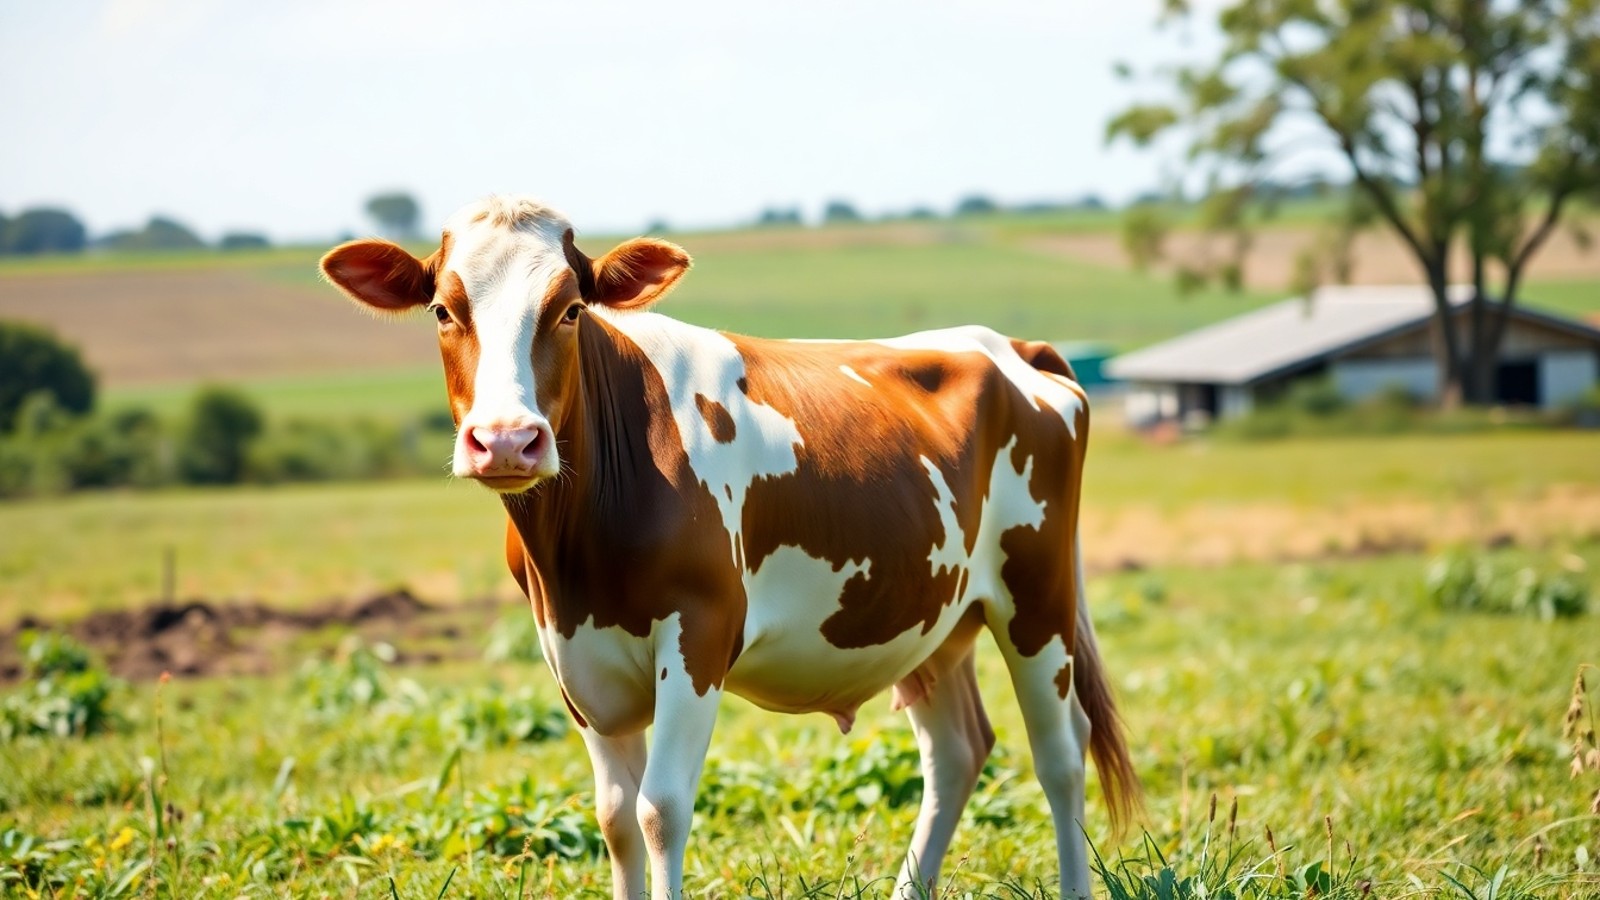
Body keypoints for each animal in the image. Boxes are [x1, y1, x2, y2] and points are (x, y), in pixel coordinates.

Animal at [320, 196, 1139, 899]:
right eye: (442, 309)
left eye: (571, 308)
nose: (505, 440)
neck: (577, 555)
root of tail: (999, 343)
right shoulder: (571, 655)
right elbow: (614, 818)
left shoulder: (701, 632)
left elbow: (660, 809)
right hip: (930, 617)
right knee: (958, 753)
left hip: (1036, 596)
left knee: (1061, 754)